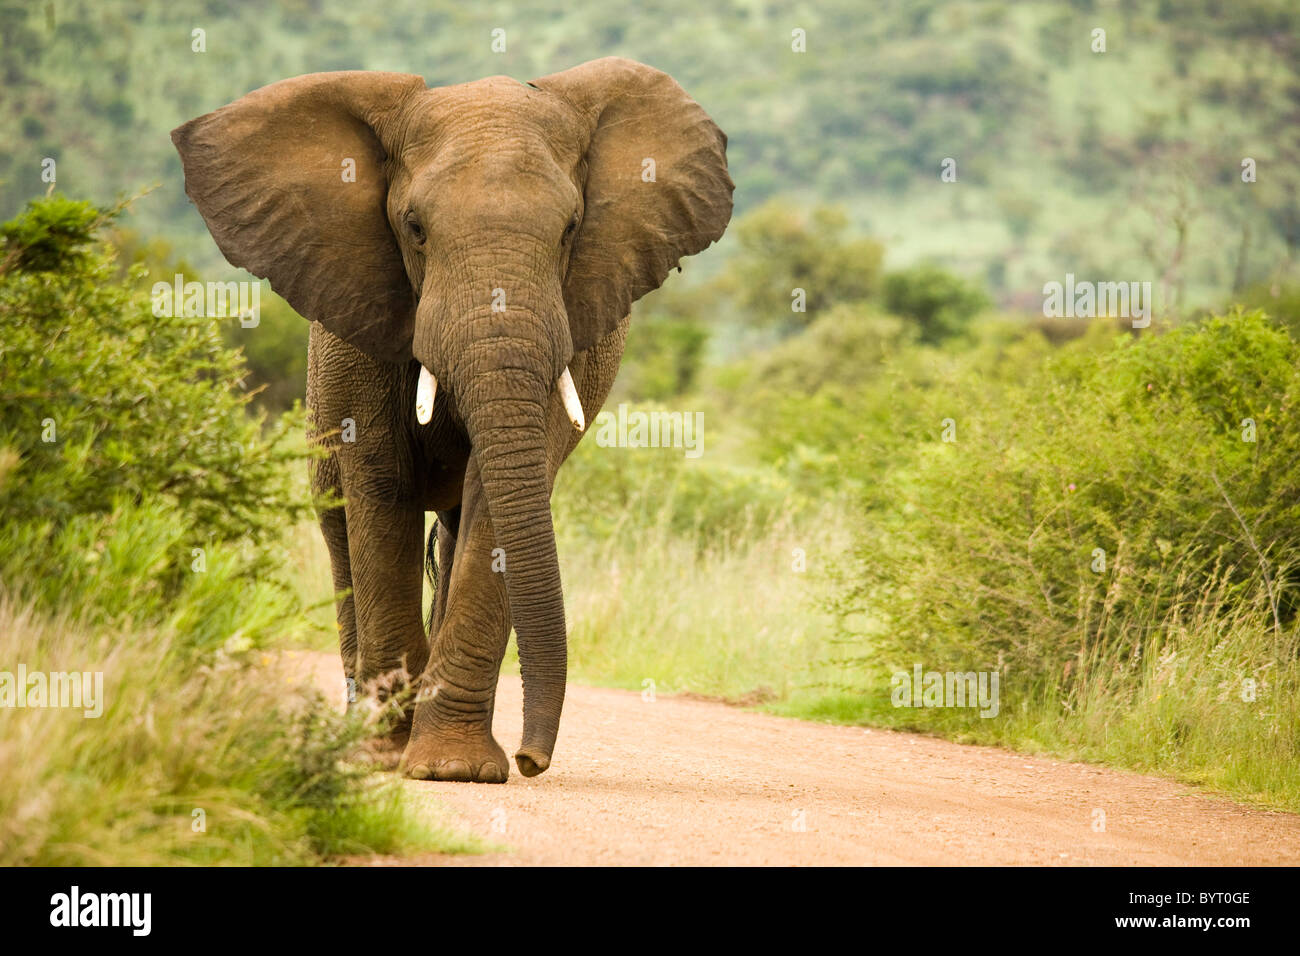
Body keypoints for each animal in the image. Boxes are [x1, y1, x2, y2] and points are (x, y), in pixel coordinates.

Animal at [171, 55, 733, 780]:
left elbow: (498, 500)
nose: (532, 759)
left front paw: (451, 768)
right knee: (339, 527)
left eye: (570, 230)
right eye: (414, 228)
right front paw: (388, 755)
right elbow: (381, 483)